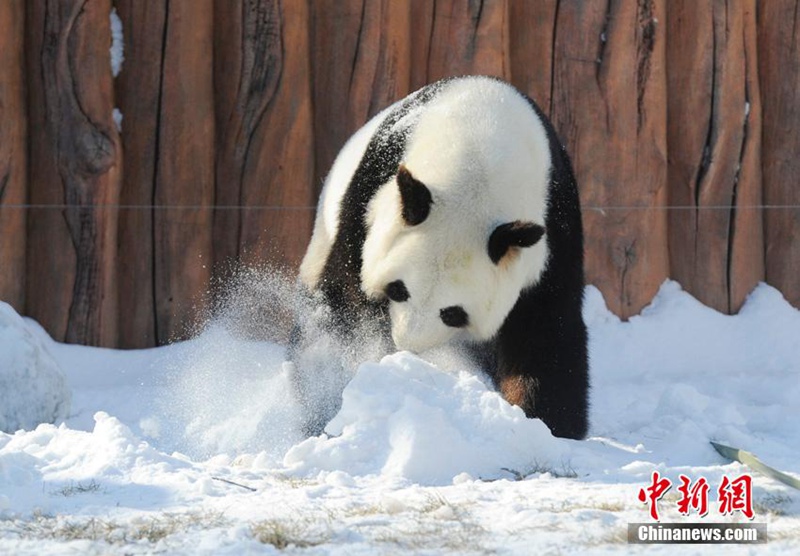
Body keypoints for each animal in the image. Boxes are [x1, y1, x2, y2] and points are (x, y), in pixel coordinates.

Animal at [292, 75, 588, 438]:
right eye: (398, 289)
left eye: (453, 313)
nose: (407, 344)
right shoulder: (369, 200)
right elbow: (349, 301)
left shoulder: (553, 228)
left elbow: (546, 328)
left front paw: (549, 425)